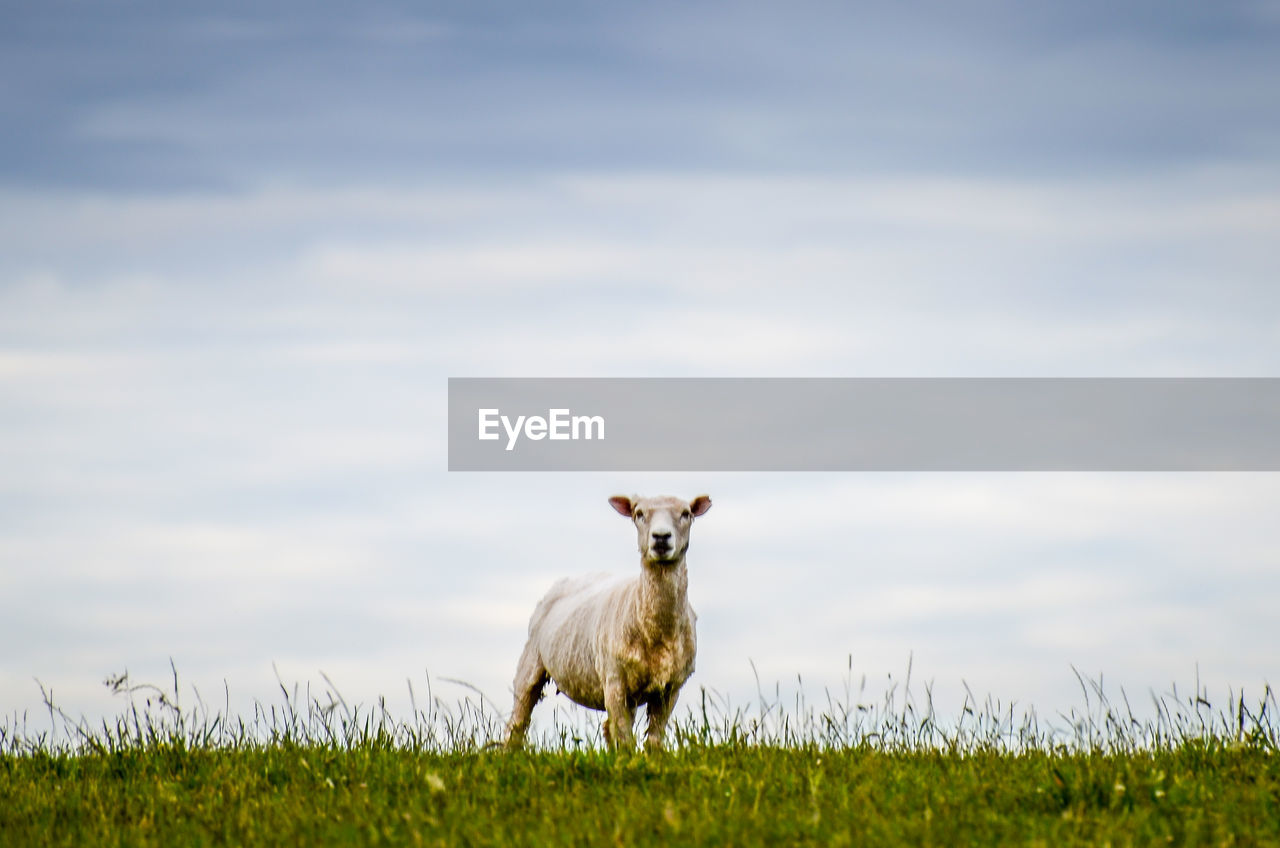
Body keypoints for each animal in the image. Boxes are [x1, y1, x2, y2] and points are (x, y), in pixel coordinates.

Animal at [504, 494, 716, 753]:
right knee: (518, 720)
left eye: (686, 514)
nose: (661, 537)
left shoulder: (671, 687)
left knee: (608, 728)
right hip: (531, 663)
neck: (656, 632)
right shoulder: (614, 681)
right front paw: (629, 761)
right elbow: (625, 738)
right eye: (639, 514)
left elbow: (654, 739)